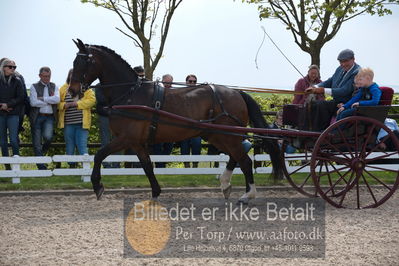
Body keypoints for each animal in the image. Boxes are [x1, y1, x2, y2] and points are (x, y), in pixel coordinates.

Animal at [69, 38, 282, 203]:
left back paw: (248, 194)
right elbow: (147, 166)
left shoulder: (126, 138)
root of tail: (236, 92)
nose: (72, 90)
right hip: (217, 135)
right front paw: (155, 193)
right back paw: (226, 185)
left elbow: (99, 155)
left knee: (244, 160)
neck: (130, 93)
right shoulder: (137, 143)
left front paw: (97, 186)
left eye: (82, 63)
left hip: (227, 136)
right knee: (235, 157)